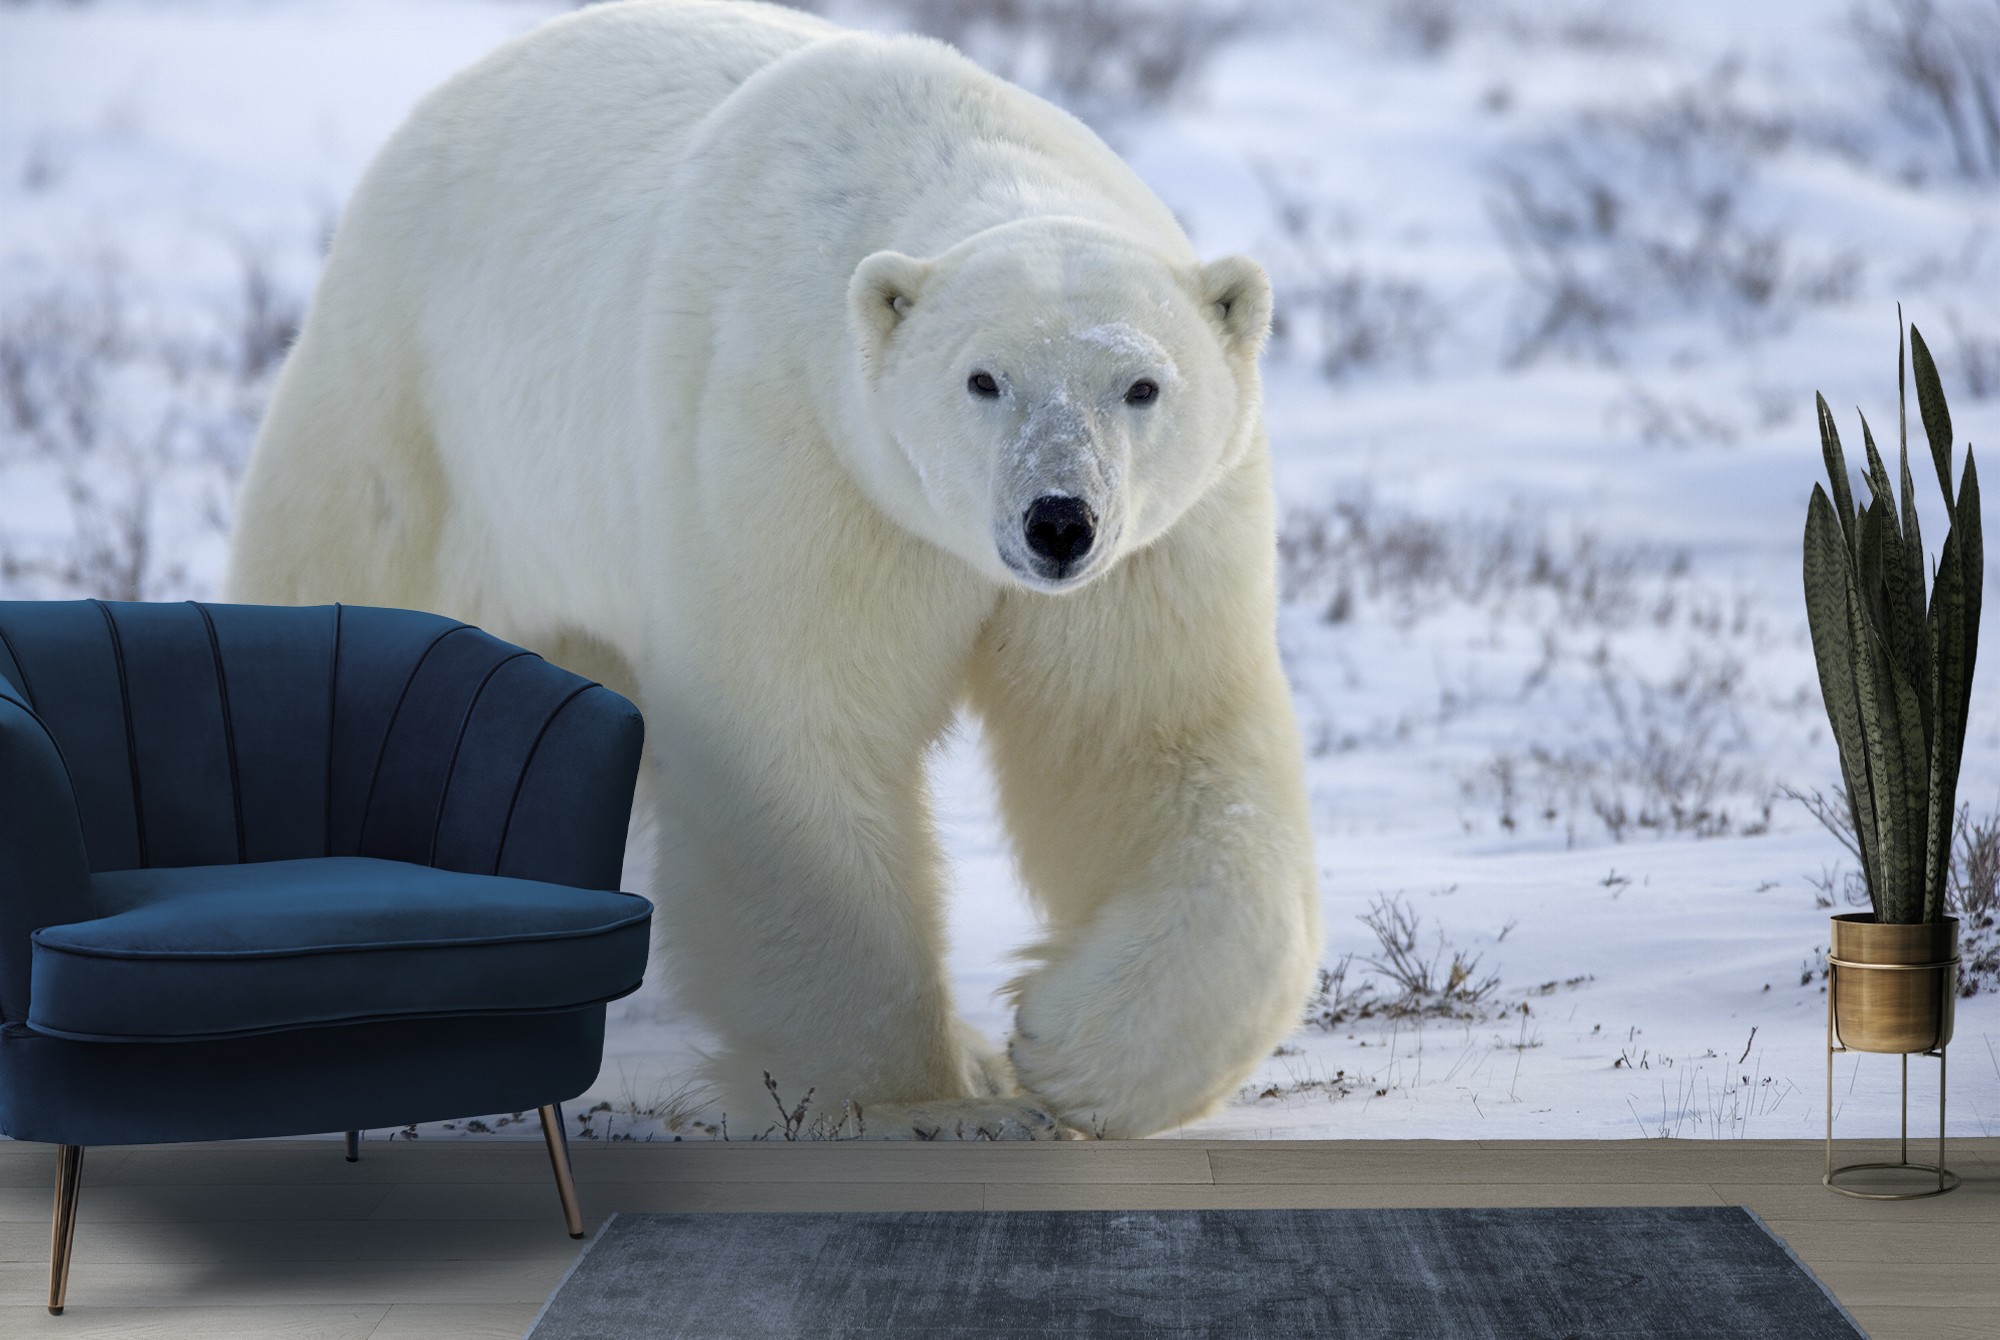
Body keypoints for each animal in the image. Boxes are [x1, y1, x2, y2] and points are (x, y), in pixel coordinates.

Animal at [226, 0, 1321, 1139]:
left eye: (1141, 384)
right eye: (983, 379)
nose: (1057, 520)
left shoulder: (1155, 544)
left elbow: (1150, 742)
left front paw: (1062, 1053)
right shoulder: (801, 452)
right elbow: (796, 735)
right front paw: (916, 1099)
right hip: (420, 417)